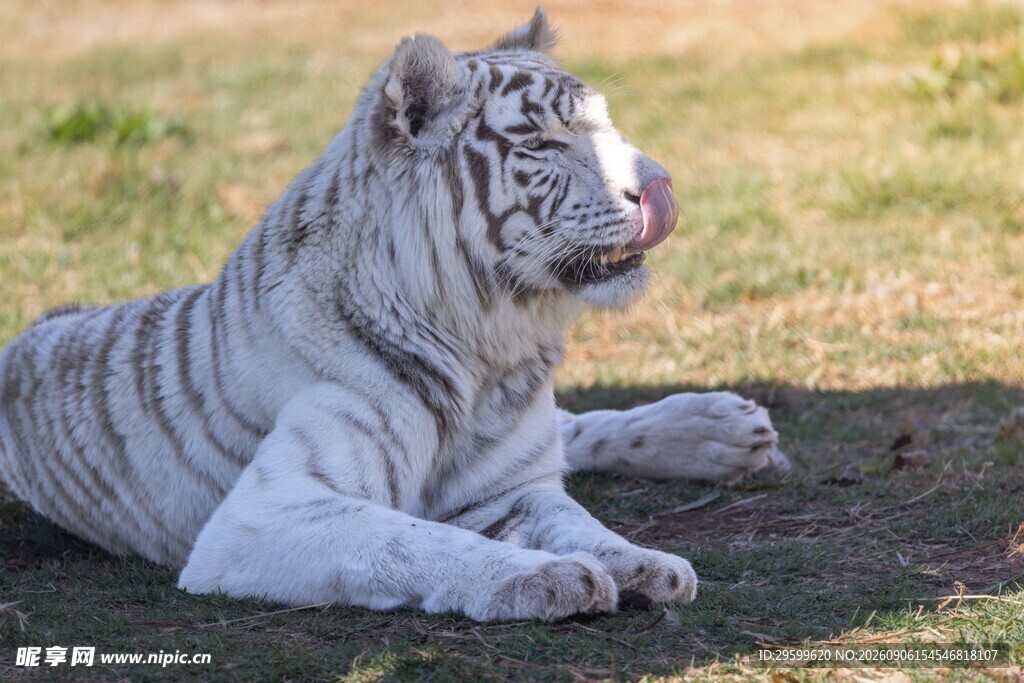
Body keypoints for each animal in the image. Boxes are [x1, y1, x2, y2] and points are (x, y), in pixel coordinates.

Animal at [0, 9, 786, 621]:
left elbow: (579, 519)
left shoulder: (511, 486)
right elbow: (408, 540)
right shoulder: (263, 514)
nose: (663, 187)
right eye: (542, 142)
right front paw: (547, 577)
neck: (489, 351)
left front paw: (646, 562)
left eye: (606, 125)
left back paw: (723, 430)